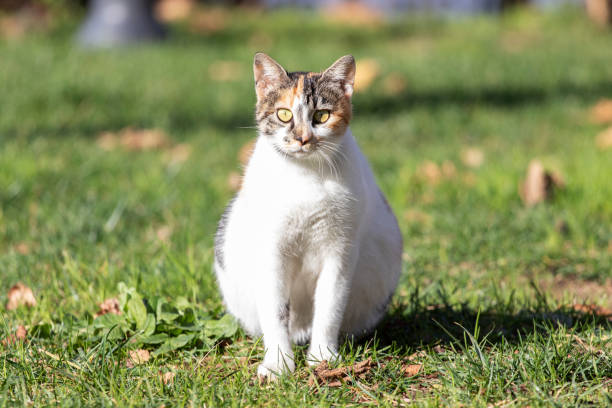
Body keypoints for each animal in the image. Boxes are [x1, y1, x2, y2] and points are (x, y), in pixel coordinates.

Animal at [213, 52, 404, 378]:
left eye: (322, 116)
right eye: (284, 114)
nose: (302, 138)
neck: (305, 176)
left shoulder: (340, 250)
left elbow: (329, 306)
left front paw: (323, 358)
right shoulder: (272, 251)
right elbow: (276, 310)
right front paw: (278, 364)